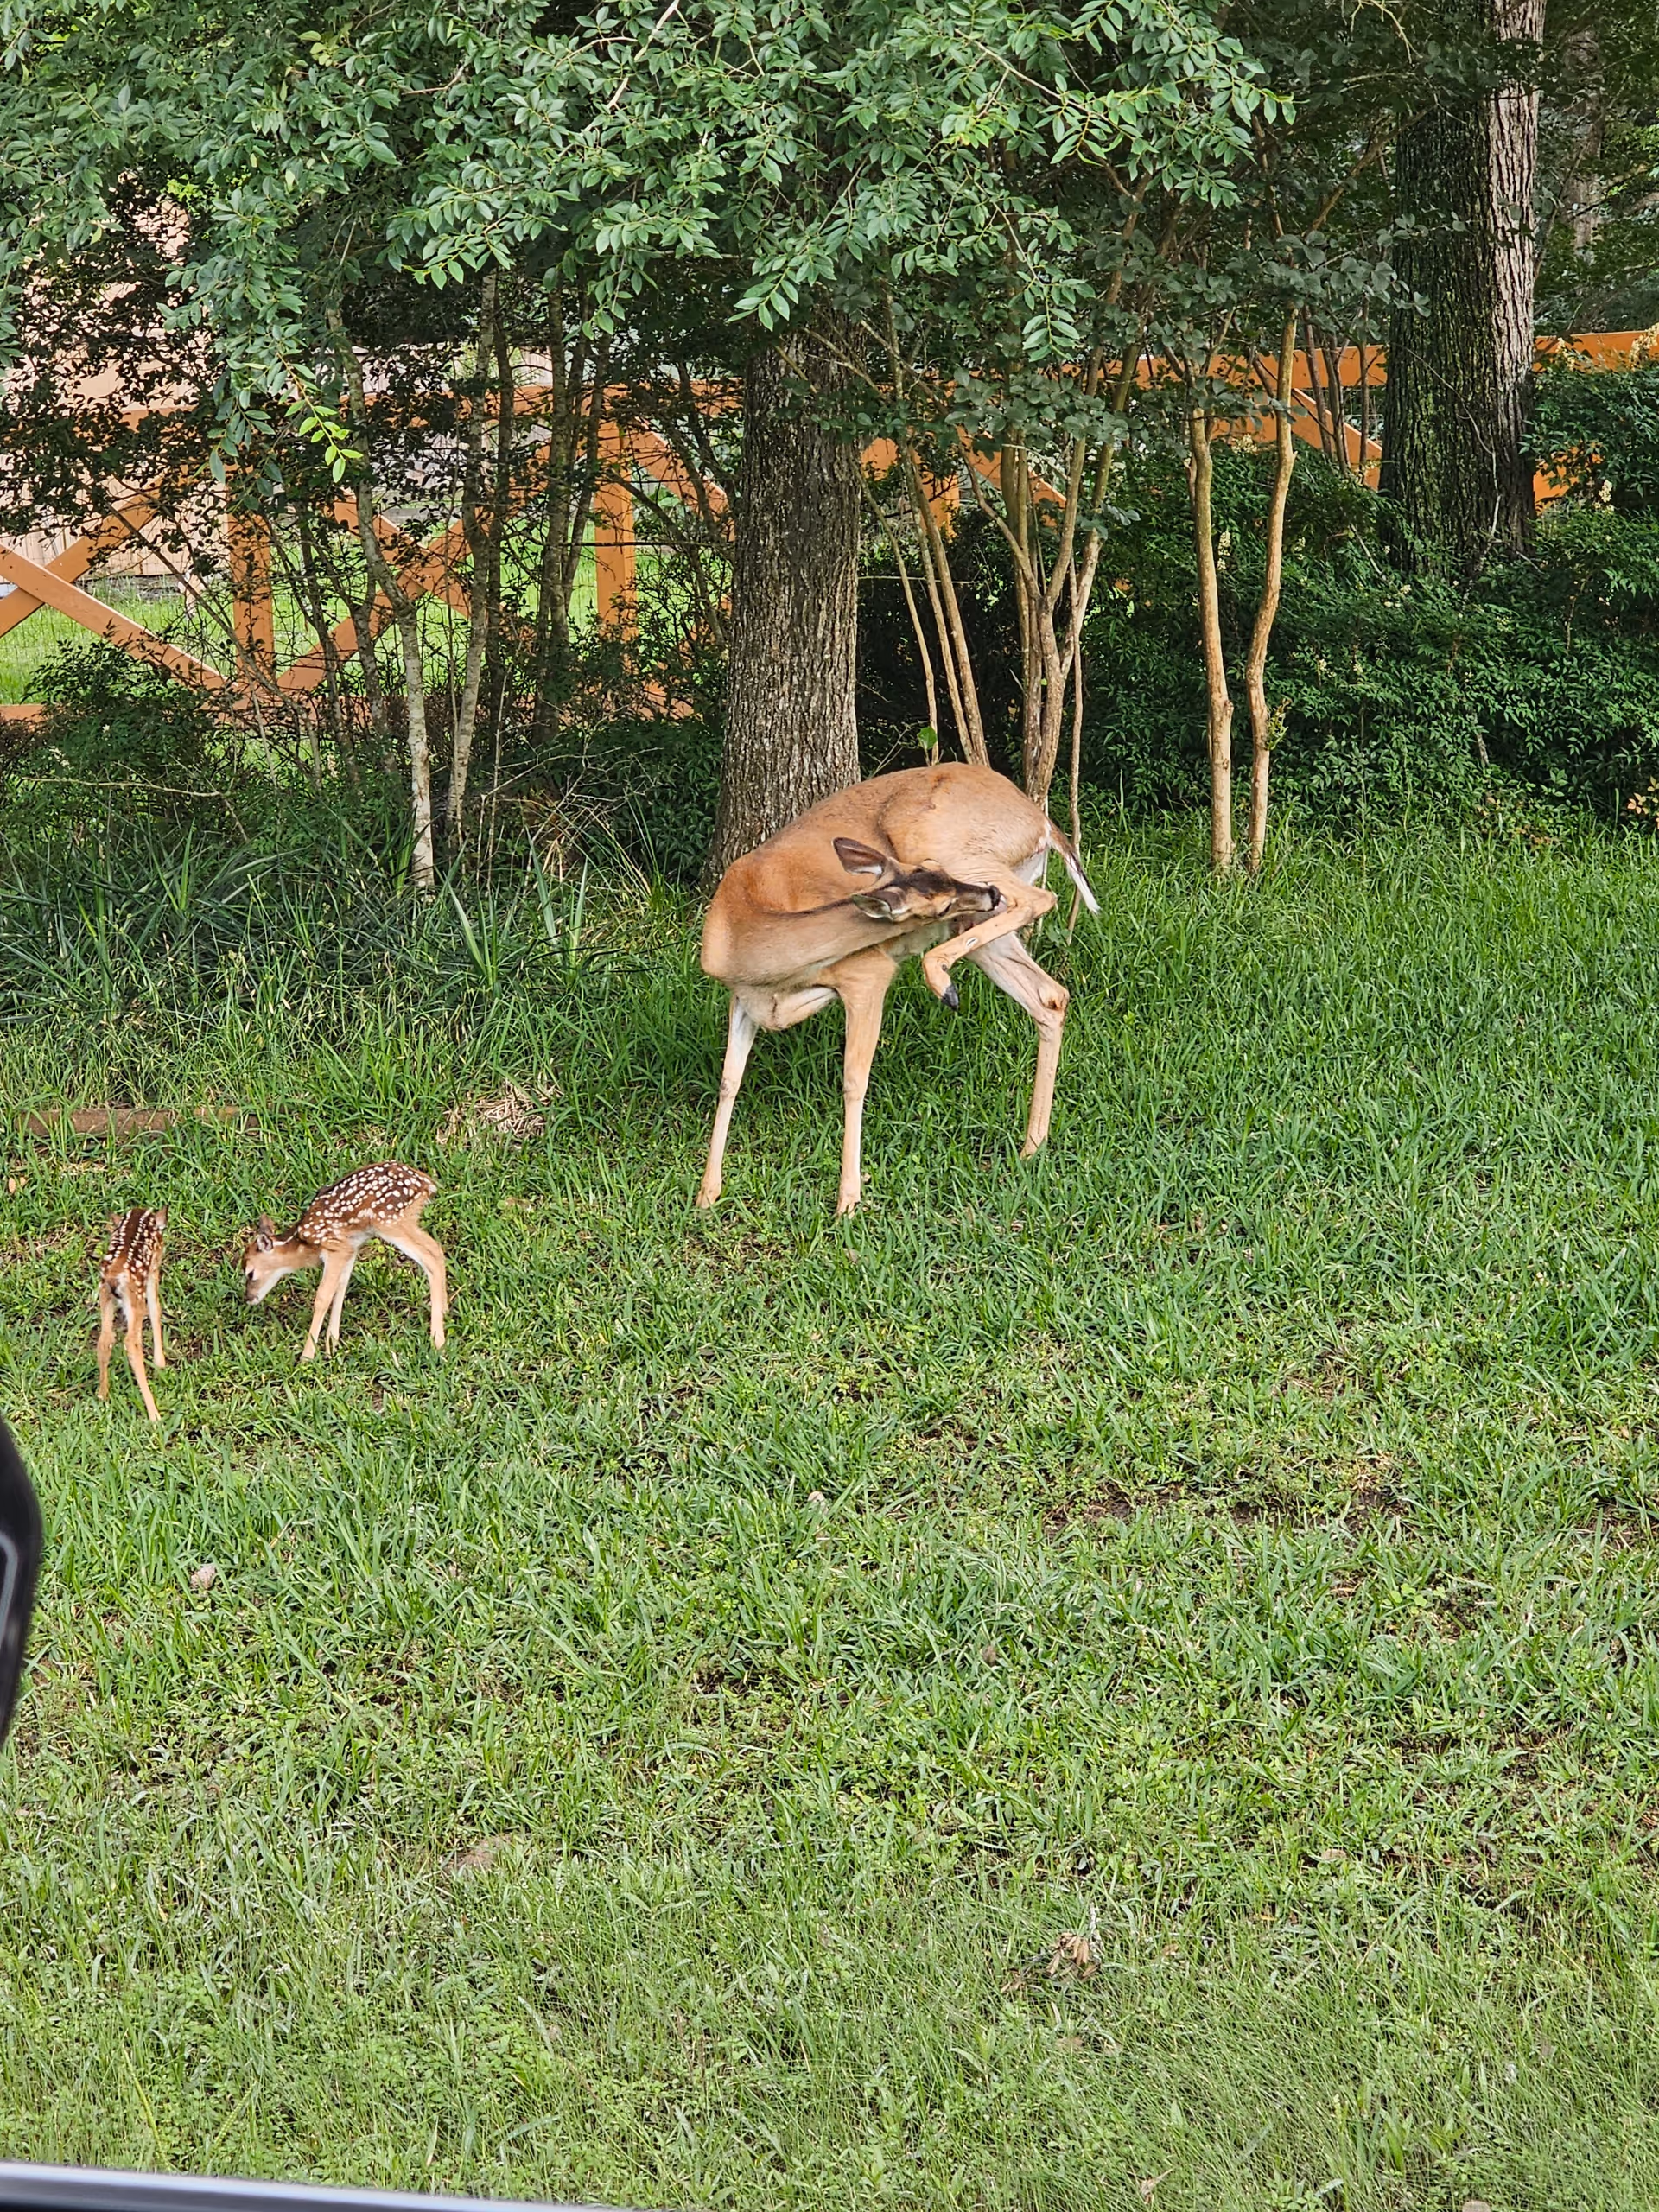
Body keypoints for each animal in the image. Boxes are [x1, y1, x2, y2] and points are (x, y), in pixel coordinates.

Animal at [96, 1206, 168, 1424]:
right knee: (131, 1342)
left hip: (104, 1296)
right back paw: (154, 1414)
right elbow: (155, 1308)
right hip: (134, 1296)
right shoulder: (154, 1267)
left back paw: (102, 1395)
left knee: (105, 1339)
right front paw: (160, 1363)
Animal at [242, 1163, 448, 1361]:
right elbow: (341, 1287)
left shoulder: (335, 1247)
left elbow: (323, 1297)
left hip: (390, 1221)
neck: (303, 1245)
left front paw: (307, 1356)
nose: (249, 1298)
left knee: (433, 1253)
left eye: (250, 1273)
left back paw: (438, 1341)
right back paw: (444, 1313)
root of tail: (427, 1184)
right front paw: (332, 1346)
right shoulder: (350, 1247)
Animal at [696, 762, 1099, 1217]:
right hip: (978, 918)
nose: (985, 894)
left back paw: (943, 980)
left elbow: (854, 1080)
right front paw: (707, 1194)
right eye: (939, 899)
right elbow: (729, 1080)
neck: (744, 928)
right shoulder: (744, 998)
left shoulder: (867, 974)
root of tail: (1042, 824)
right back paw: (1032, 1148)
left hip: (953, 847)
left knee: (1039, 899)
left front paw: (847, 1201)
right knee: (1050, 996)